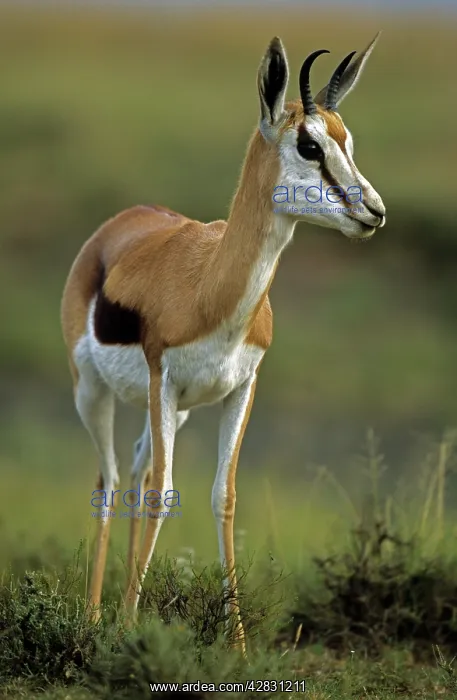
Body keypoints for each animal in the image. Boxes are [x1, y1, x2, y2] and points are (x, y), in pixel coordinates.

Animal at [61, 33, 385, 651]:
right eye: (309, 144)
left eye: (347, 140)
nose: (374, 211)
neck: (209, 289)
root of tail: (117, 227)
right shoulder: (164, 380)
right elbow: (164, 495)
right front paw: (127, 629)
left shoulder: (241, 388)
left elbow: (223, 497)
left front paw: (236, 645)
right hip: (94, 392)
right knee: (110, 480)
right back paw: (91, 620)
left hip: (177, 410)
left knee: (137, 469)